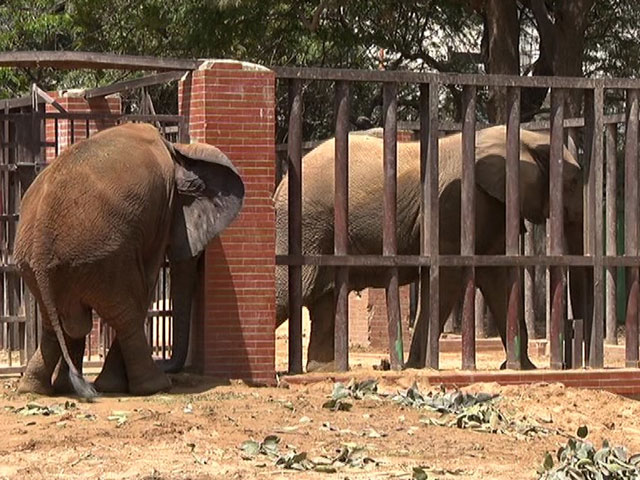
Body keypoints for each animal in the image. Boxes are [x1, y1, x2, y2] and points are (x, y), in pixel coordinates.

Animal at [15, 122, 246, 396]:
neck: (178, 152)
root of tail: (41, 237)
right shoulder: (161, 213)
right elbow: (145, 287)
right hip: (104, 258)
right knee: (123, 313)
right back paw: (153, 386)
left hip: (37, 267)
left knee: (61, 322)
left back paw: (37, 389)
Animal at [276, 124, 584, 372]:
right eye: (573, 182)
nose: (576, 325)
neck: (525, 137)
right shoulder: (455, 206)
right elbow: (449, 276)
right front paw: (418, 366)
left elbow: (497, 277)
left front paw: (522, 368)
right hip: (306, 224)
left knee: (323, 299)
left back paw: (324, 370)